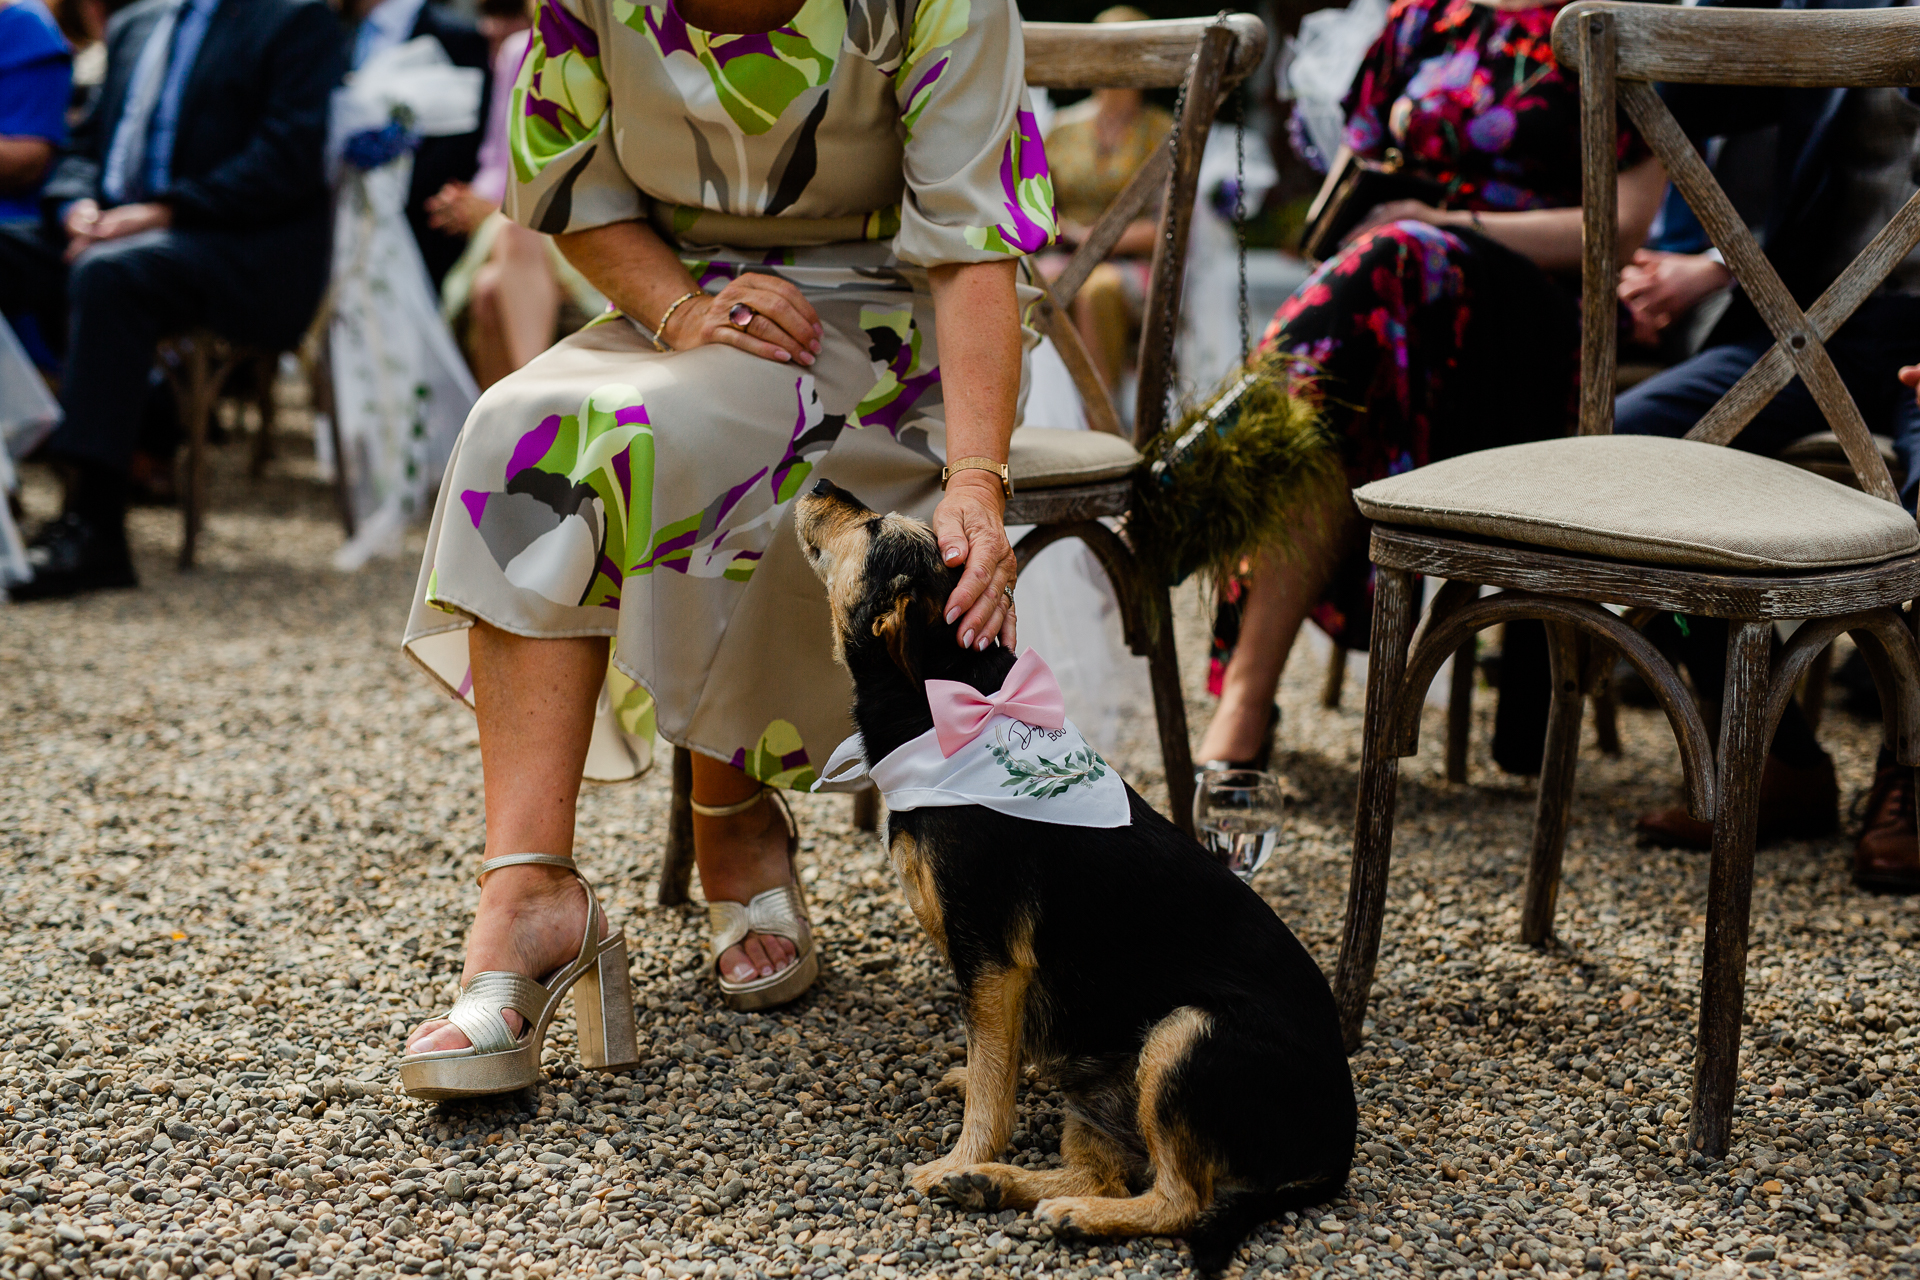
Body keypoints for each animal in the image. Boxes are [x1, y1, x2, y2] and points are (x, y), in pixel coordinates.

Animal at [787, 477, 1359, 1274]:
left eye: (872, 528)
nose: (817, 482)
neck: (950, 711)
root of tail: (1338, 1145)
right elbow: (997, 1058)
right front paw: (978, 1124)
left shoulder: (991, 957)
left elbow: (991, 1083)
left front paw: (960, 1149)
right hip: (1111, 1088)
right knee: (1108, 1169)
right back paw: (995, 1185)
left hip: (1184, 1038)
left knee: (1180, 1200)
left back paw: (1061, 1210)